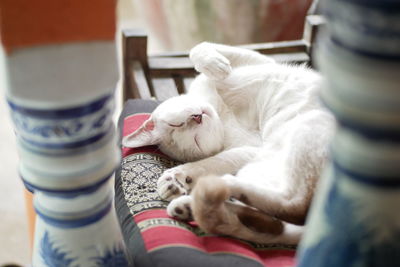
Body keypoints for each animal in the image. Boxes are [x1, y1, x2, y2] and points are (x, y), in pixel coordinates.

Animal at [122, 43, 334, 246]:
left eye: (175, 124)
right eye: (196, 140)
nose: (196, 117)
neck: (223, 110)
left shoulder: (258, 60)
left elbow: (200, 48)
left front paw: (216, 65)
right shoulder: (251, 149)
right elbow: (211, 162)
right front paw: (175, 178)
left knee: (280, 222)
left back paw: (192, 206)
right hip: (300, 134)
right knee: (291, 208)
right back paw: (198, 200)